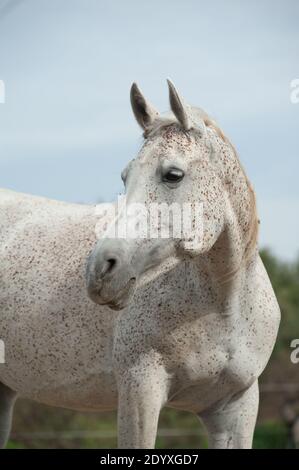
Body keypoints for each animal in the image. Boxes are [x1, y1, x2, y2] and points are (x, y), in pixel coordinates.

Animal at [0, 81, 282, 448]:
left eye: (173, 175)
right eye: (125, 176)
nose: (100, 271)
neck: (223, 304)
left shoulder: (236, 407)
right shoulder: (139, 391)